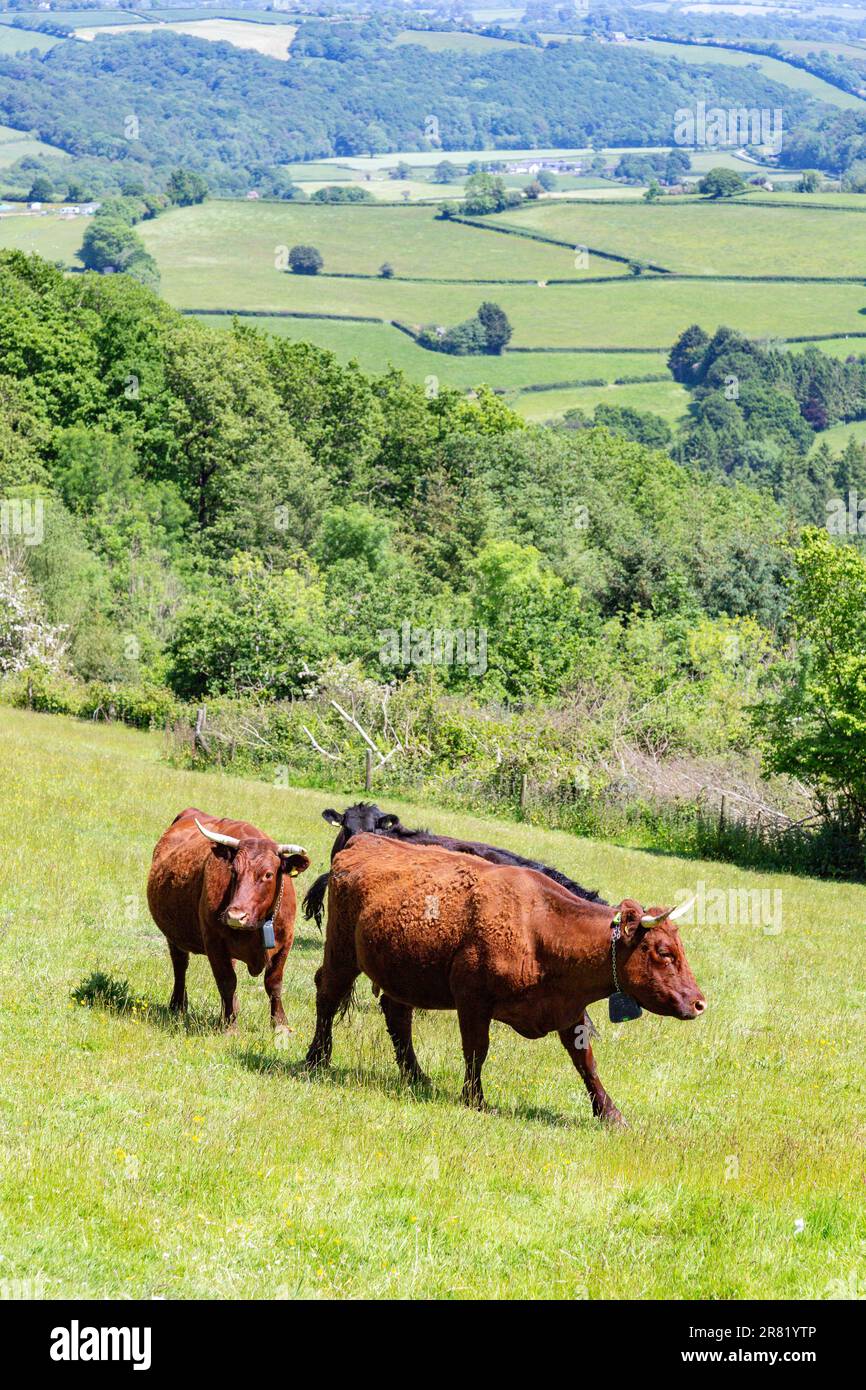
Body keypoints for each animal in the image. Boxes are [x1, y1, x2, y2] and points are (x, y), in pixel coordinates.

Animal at [146, 808, 310, 1032]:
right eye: (233, 871)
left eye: (268, 874)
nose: (235, 916)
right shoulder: (214, 942)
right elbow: (227, 982)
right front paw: (230, 1026)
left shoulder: (286, 943)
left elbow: (274, 983)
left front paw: (280, 1025)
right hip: (174, 936)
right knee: (180, 965)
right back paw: (178, 1005)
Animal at [305, 834, 704, 1126]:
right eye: (664, 952)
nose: (699, 1003)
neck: (539, 928)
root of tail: (362, 841)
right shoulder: (472, 1000)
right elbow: (476, 1050)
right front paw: (475, 1099)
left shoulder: (569, 1011)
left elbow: (585, 1062)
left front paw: (610, 1113)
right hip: (341, 953)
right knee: (327, 995)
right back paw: (316, 1059)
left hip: (401, 973)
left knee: (397, 1015)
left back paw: (416, 1076)